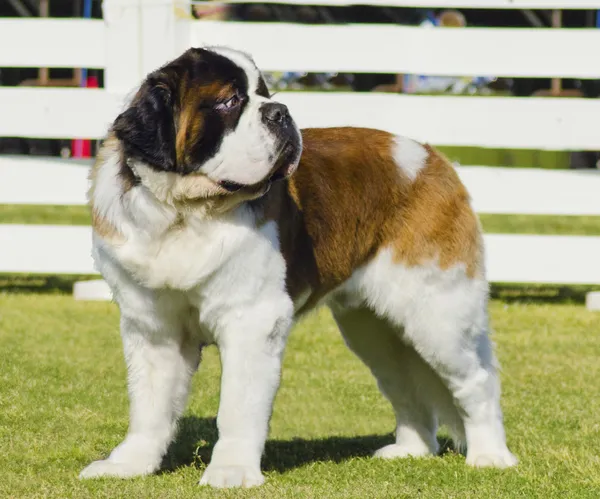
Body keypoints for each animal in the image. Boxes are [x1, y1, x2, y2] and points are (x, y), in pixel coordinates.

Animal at [78, 46, 516, 488]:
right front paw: (128, 464)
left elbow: (238, 405)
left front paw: (231, 471)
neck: (184, 213)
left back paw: (490, 456)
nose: (281, 111)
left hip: (437, 313)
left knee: (476, 380)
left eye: (264, 94)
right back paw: (410, 450)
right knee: (404, 382)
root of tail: (433, 157)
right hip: (373, 328)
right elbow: (149, 405)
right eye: (230, 101)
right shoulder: (152, 325)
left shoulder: (252, 319)